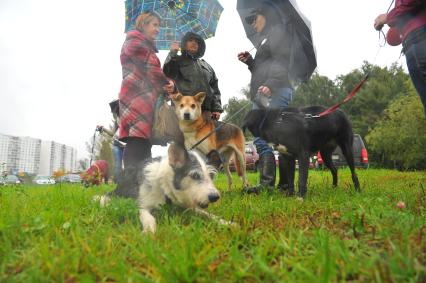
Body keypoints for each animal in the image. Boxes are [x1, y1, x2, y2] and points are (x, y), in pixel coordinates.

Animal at [98, 143, 231, 234]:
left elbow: (208, 214)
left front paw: (227, 223)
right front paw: (149, 231)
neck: (164, 186)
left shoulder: (188, 206)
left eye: (212, 175)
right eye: (195, 175)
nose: (215, 197)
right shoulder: (140, 205)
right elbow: (149, 217)